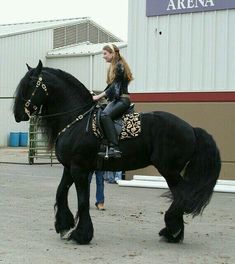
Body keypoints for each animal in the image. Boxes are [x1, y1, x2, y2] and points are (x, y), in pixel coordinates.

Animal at [14, 60, 220, 244]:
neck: (77, 119)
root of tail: (191, 129)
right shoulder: (69, 168)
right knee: (180, 196)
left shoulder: (80, 169)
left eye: (30, 83)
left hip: (169, 170)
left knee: (182, 195)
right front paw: (64, 226)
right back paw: (173, 233)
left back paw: (172, 230)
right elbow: (60, 192)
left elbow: (83, 200)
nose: (17, 114)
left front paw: (81, 235)